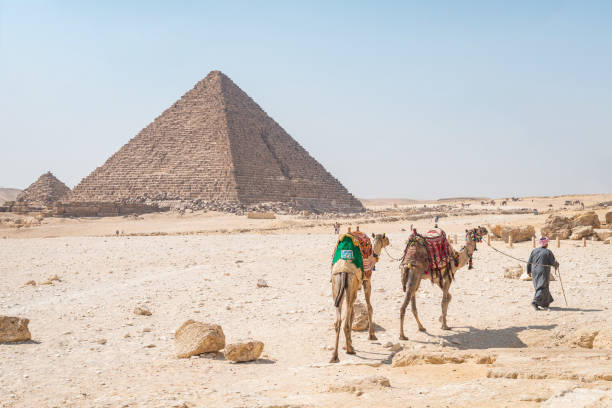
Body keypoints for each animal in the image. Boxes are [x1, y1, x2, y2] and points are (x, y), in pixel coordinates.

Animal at [330, 230, 388, 364]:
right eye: (385, 238)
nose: (388, 241)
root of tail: (343, 269)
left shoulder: (354, 289)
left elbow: (352, 314)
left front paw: (348, 343)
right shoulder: (366, 281)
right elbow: (369, 307)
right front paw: (372, 335)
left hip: (337, 285)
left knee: (338, 321)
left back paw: (334, 356)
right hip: (351, 282)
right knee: (345, 322)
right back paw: (349, 350)